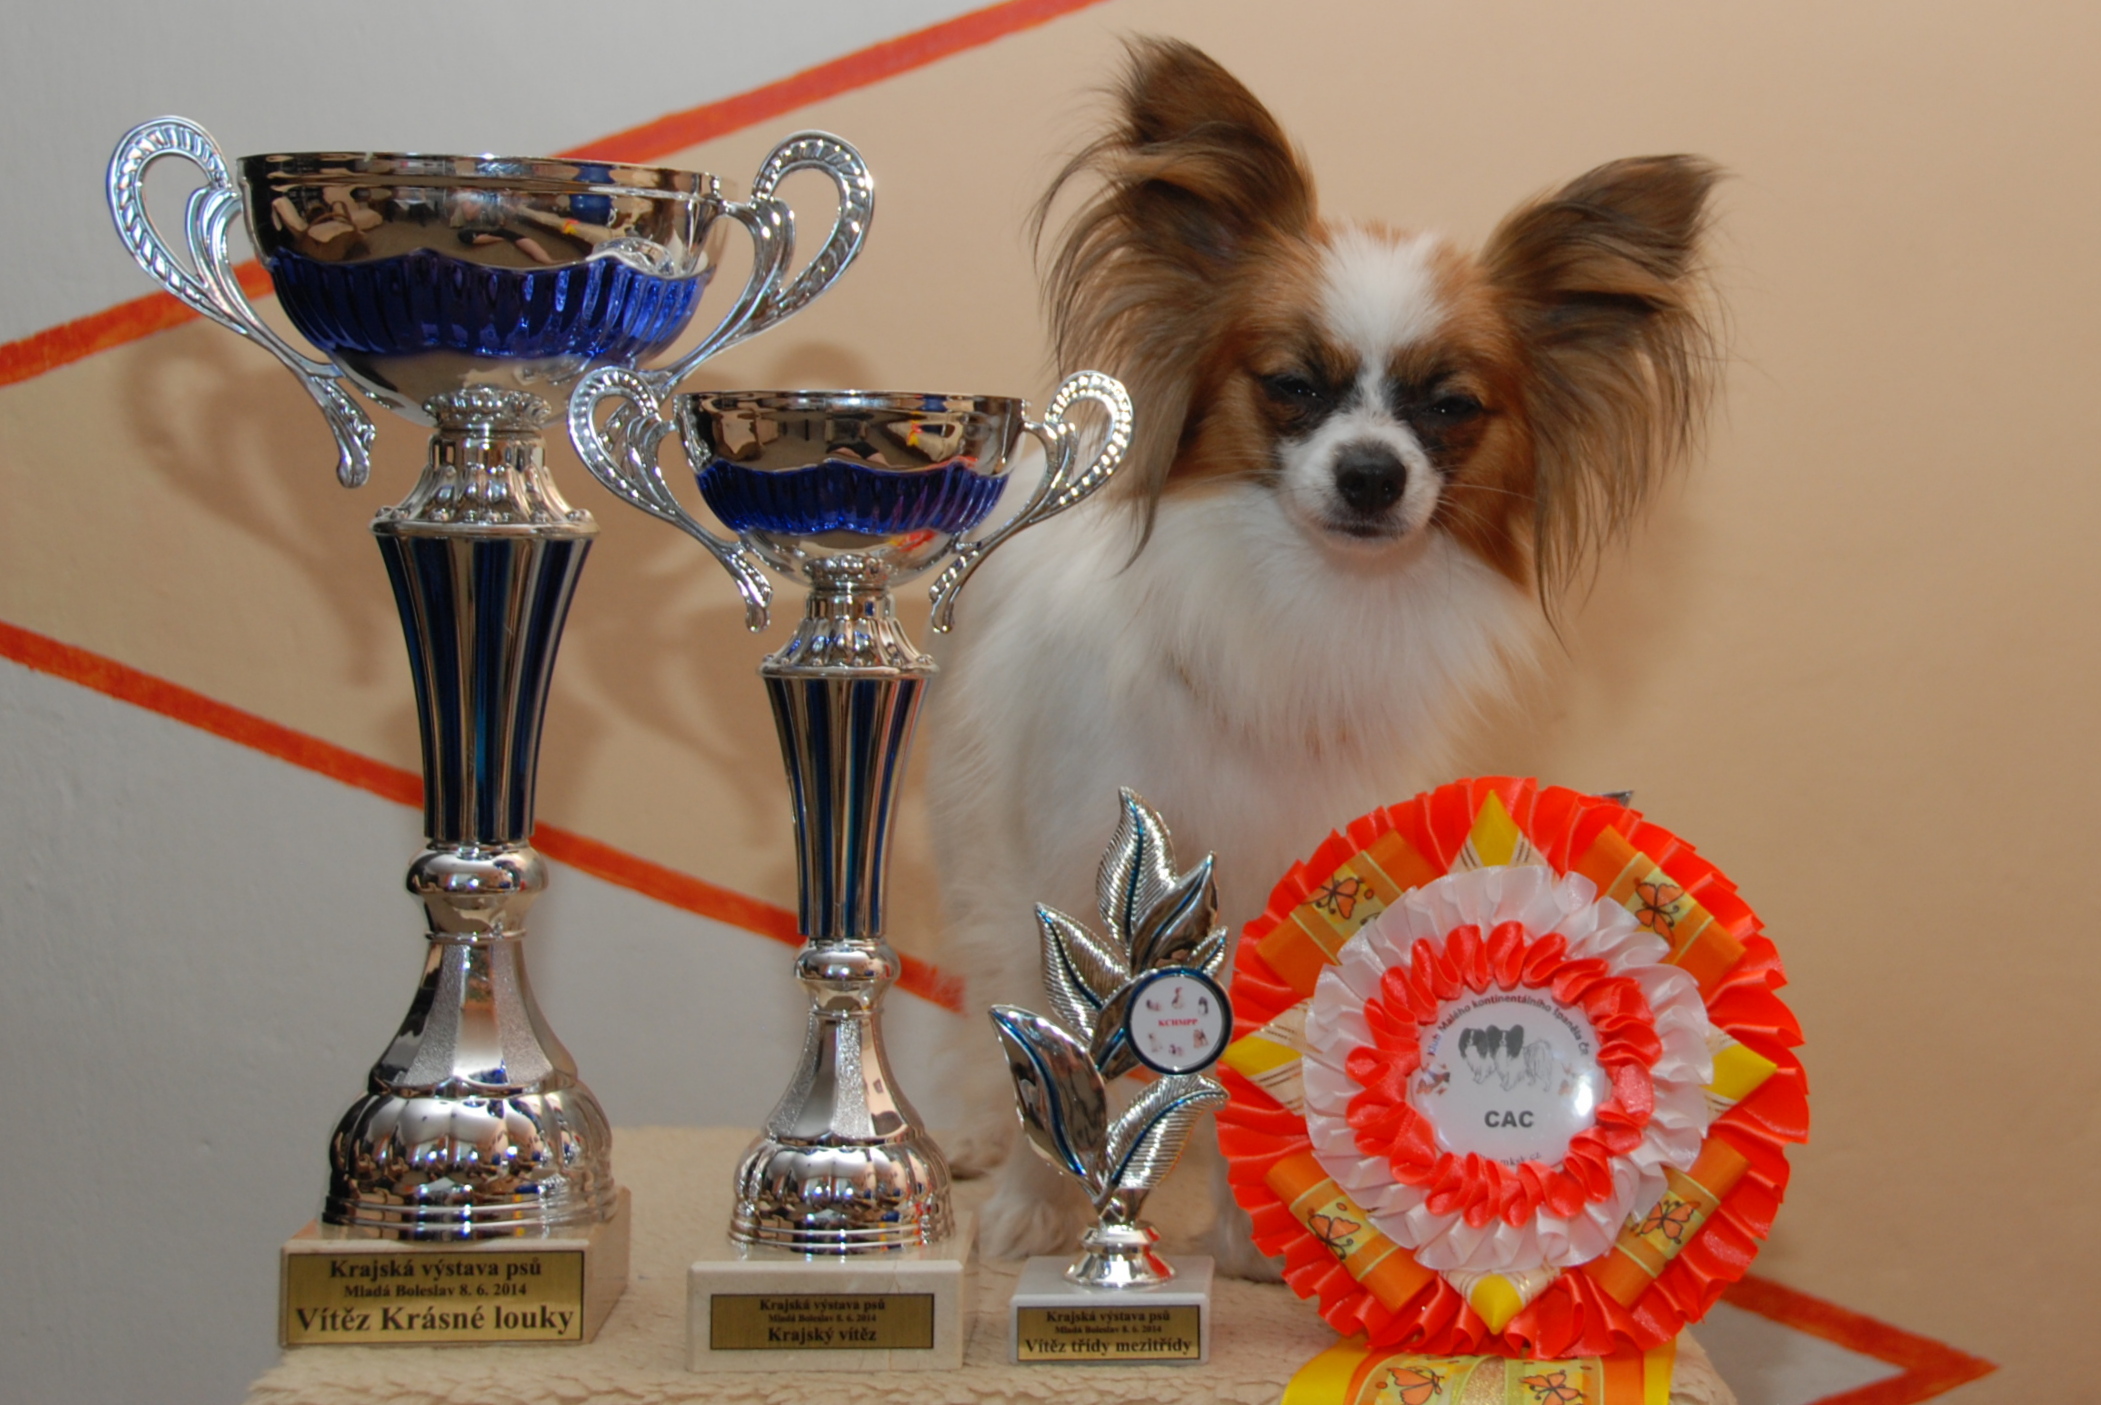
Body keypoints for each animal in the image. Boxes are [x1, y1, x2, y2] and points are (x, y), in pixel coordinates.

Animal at [926, 37, 1719, 1269]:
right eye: (1291, 385)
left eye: (1451, 409)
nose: (1371, 474)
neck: (1302, 603)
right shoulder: (1067, 865)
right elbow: (1049, 1044)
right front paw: (1036, 1206)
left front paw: (1262, 1236)